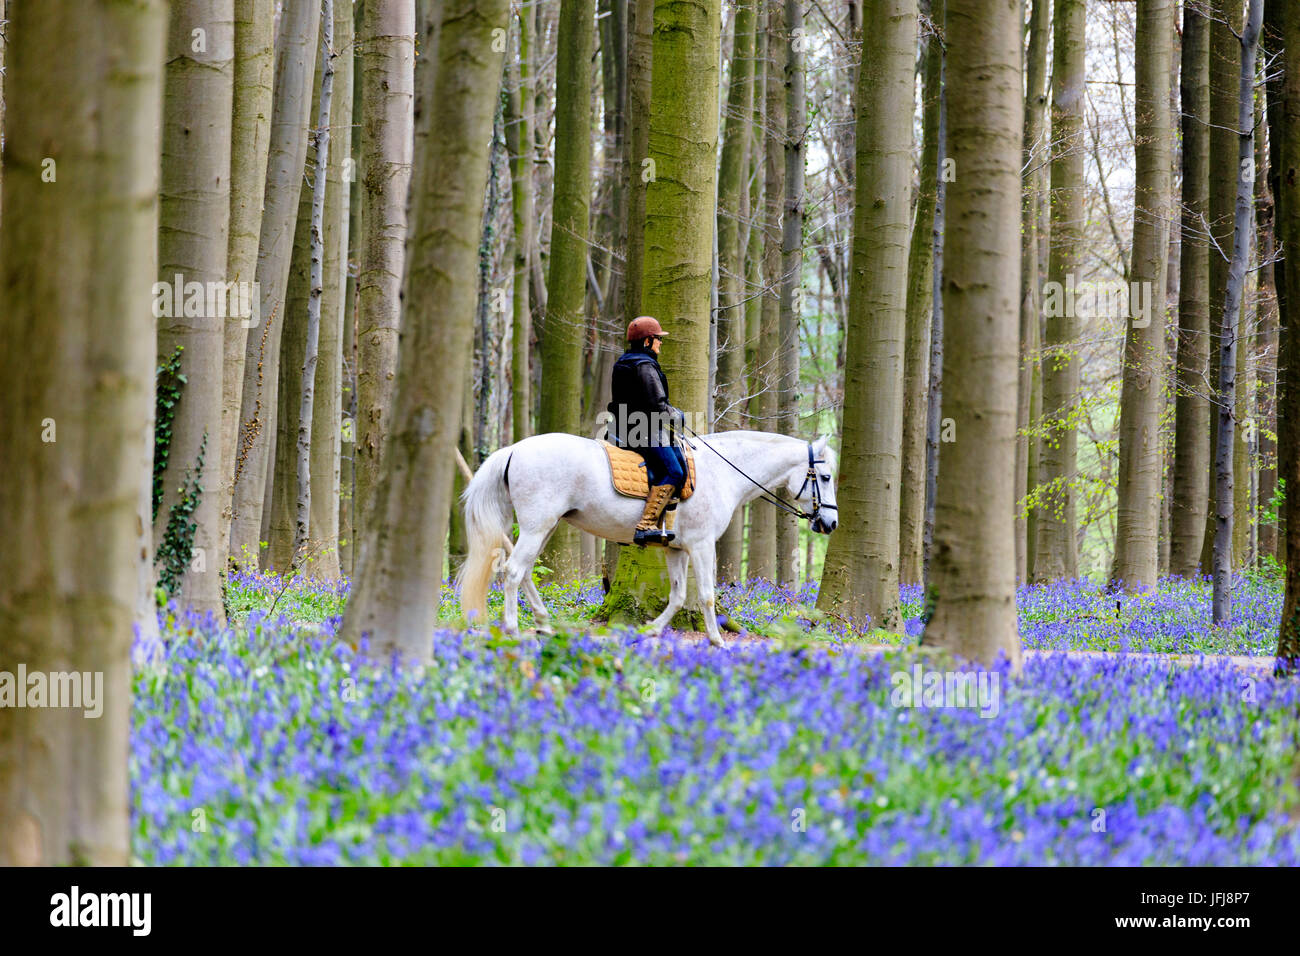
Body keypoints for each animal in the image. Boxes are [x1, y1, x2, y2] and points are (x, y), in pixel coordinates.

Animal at [457, 431, 842, 650]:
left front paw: (650, 630)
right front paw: (717, 641)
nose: (831, 523)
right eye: (824, 477)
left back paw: (543, 621)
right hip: (538, 526)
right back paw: (512, 628)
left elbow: (678, 596)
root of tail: (514, 449)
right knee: (512, 572)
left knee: (522, 573)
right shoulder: (702, 546)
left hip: (545, 527)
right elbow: (705, 595)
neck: (722, 473)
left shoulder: (676, 550)